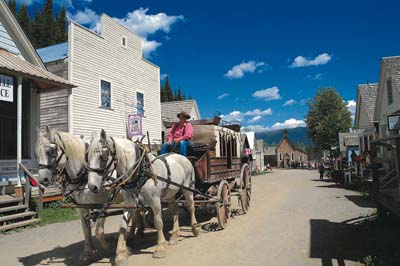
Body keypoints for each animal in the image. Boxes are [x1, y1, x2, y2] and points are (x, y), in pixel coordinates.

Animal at [36, 127, 122, 264]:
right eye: (37, 154)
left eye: (50, 152)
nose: (42, 180)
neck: (85, 175)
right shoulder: (82, 207)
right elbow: (86, 230)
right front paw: (88, 252)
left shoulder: (104, 204)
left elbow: (98, 231)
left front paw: (107, 248)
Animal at [87, 129, 200, 266]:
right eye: (87, 157)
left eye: (102, 156)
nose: (92, 186)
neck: (140, 171)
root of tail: (183, 157)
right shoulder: (130, 203)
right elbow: (122, 227)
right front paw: (120, 255)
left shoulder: (155, 201)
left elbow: (158, 223)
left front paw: (160, 248)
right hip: (170, 193)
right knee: (175, 210)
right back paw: (174, 236)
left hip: (188, 188)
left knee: (191, 207)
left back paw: (195, 228)